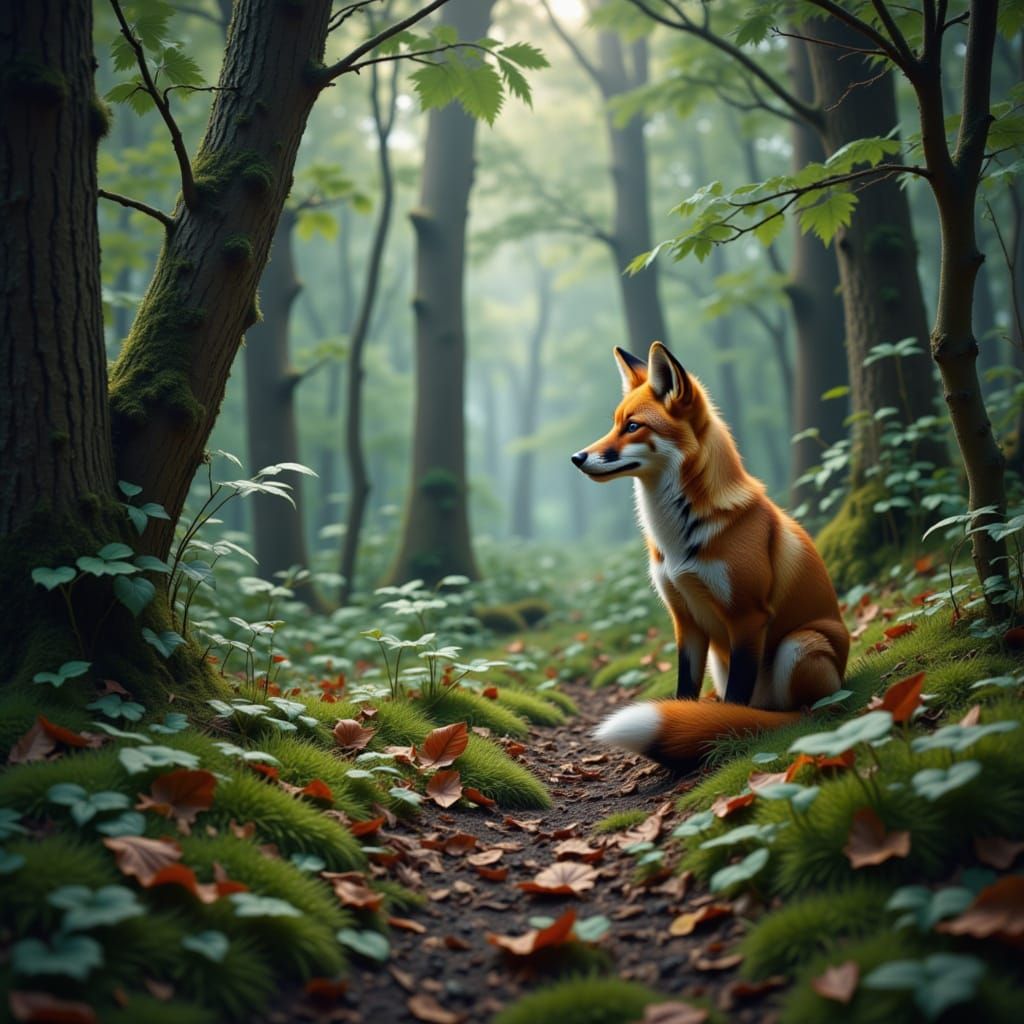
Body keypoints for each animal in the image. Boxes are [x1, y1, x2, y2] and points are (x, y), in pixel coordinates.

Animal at [571, 342, 849, 768]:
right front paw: (682, 729)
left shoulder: (748, 616)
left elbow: (733, 703)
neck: (679, 539)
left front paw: (724, 732)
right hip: (725, 660)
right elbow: (685, 691)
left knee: (798, 713)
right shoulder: (684, 617)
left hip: (801, 644)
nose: (577, 457)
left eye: (633, 426)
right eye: (615, 423)